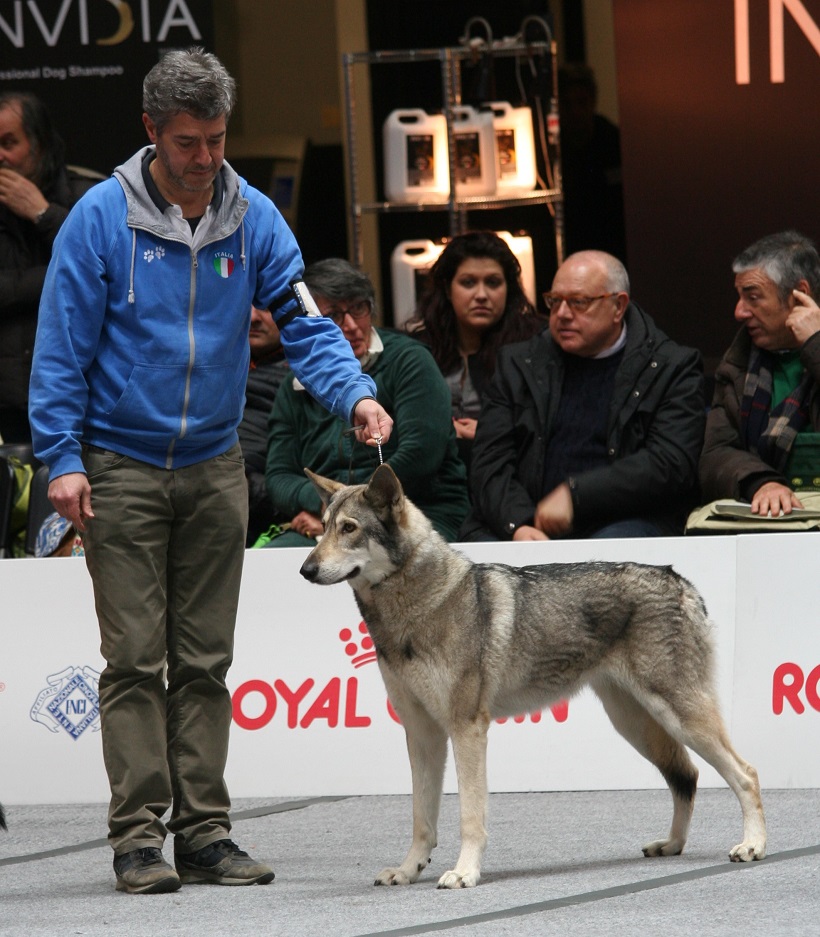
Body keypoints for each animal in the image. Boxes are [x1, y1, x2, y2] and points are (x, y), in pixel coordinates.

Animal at [298, 464, 764, 888]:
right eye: (322, 530)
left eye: (350, 528)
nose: (305, 570)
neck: (420, 607)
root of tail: (679, 579)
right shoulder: (422, 733)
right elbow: (421, 818)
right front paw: (409, 870)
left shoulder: (467, 729)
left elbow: (469, 815)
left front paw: (465, 872)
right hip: (636, 725)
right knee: (687, 776)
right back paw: (672, 845)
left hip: (680, 719)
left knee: (745, 774)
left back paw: (752, 846)